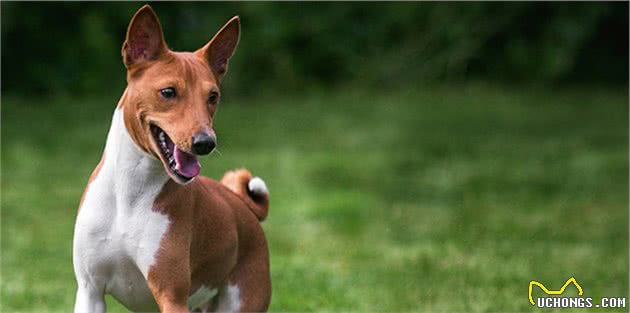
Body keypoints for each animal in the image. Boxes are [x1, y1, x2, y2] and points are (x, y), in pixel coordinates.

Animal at [73, 5, 272, 312]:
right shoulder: (89, 290)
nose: (205, 142)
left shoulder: (171, 295)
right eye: (168, 92)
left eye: (213, 96)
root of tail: (243, 206)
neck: (130, 196)